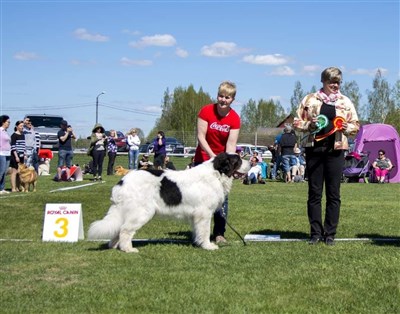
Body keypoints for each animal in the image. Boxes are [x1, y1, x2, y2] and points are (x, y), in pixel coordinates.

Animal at [89, 152, 248, 253]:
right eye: (238, 160)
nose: (250, 162)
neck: (217, 174)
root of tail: (122, 181)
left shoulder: (197, 215)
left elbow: (198, 230)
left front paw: (198, 243)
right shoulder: (204, 213)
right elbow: (204, 230)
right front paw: (208, 246)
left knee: (118, 228)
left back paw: (115, 246)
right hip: (142, 212)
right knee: (125, 229)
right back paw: (128, 249)